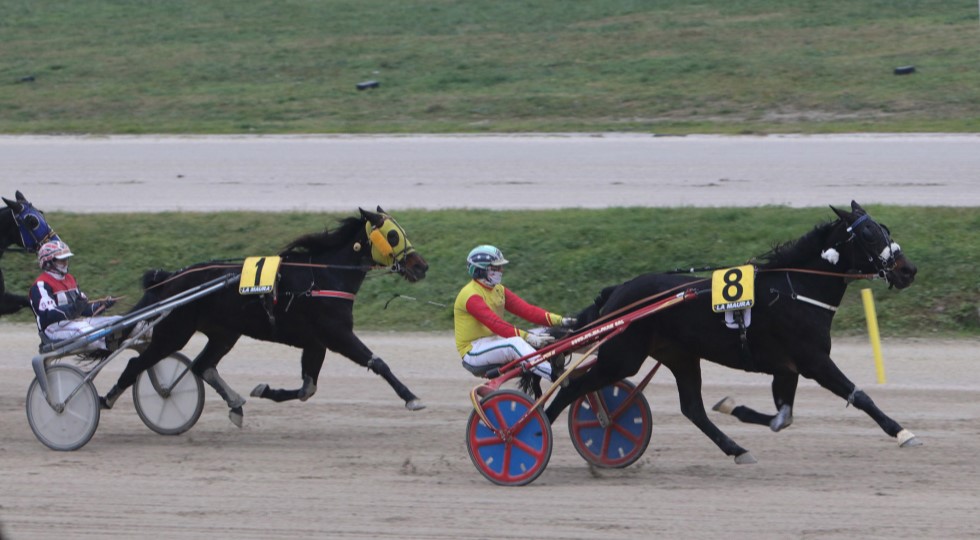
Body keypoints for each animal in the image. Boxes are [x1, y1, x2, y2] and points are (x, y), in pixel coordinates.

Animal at [99, 207, 429, 427]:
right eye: (393, 235)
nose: (421, 266)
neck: (324, 276)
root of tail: (168, 279)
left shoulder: (316, 342)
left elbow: (307, 389)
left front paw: (265, 390)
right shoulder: (337, 334)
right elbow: (378, 363)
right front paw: (411, 397)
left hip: (224, 333)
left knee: (202, 366)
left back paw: (235, 404)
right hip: (174, 332)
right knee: (136, 364)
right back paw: (105, 399)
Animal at [546, 201, 920, 464]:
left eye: (884, 228)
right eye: (869, 233)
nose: (908, 270)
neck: (796, 288)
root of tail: (618, 290)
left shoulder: (787, 368)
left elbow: (783, 417)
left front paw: (733, 407)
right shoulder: (814, 362)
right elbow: (859, 396)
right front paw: (902, 432)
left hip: (680, 356)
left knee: (692, 409)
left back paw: (737, 449)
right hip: (622, 357)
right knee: (571, 387)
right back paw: (536, 430)